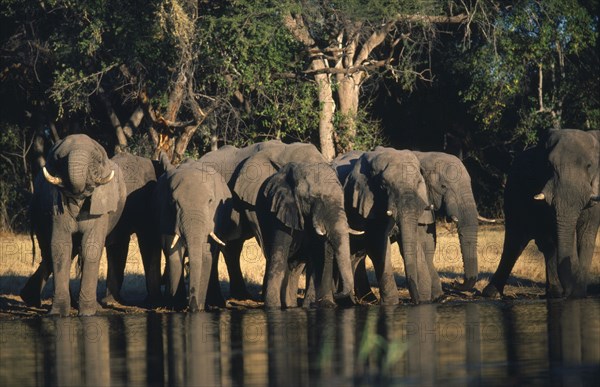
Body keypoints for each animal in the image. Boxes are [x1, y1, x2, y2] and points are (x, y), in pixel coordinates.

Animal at [20, 152, 165, 310]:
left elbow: (119, 245)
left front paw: (112, 301)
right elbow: (148, 241)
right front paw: (153, 303)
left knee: (54, 253)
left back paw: (32, 300)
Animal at [23, 135, 126, 316]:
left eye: (97, 160)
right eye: (58, 160)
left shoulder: (101, 207)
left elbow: (90, 246)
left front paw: (88, 314)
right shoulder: (56, 204)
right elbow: (61, 246)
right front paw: (58, 314)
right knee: (50, 253)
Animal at [154, 156, 240, 310]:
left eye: (211, 201)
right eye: (173, 201)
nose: (191, 306)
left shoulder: (213, 219)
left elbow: (206, 254)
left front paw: (199, 308)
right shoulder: (165, 214)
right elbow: (173, 253)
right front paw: (176, 307)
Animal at [332, 147, 436, 304]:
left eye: (418, 182)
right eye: (383, 186)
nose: (415, 301)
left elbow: (413, 243)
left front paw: (425, 301)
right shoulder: (368, 204)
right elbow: (378, 245)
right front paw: (392, 304)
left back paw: (365, 301)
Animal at [482, 129, 600, 298]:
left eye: (589, 166)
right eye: (549, 165)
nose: (570, 293)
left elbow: (586, 235)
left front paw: (578, 294)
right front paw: (573, 293)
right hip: (512, 194)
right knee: (515, 242)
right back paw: (492, 293)